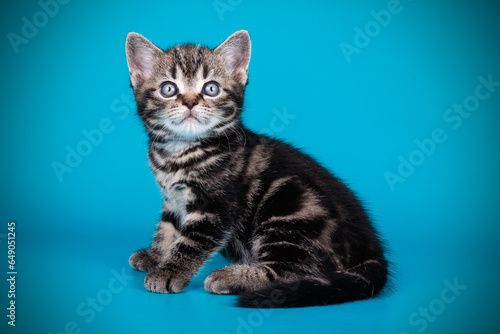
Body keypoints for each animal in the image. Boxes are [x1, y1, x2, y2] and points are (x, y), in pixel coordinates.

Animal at [126, 30, 390, 306]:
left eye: (211, 88)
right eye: (168, 89)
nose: (189, 102)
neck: (179, 153)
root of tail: (371, 250)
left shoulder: (215, 207)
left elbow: (191, 242)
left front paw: (169, 271)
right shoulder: (172, 199)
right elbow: (168, 228)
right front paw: (156, 254)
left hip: (289, 206)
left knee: (293, 273)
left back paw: (230, 277)